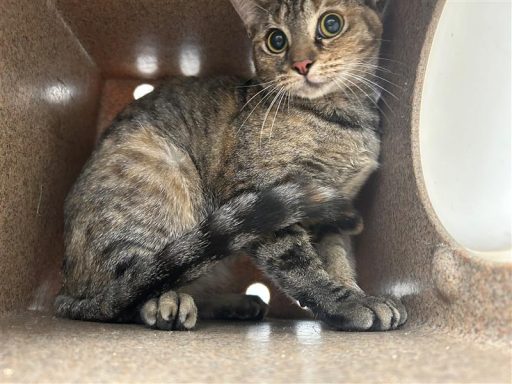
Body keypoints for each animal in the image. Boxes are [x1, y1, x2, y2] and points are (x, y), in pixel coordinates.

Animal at [55, 0, 408, 330]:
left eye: (331, 24)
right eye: (276, 40)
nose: (301, 64)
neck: (342, 120)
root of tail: (66, 291)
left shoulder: (332, 209)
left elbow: (338, 260)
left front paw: (356, 292)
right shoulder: (266, 193)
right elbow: (300, 265)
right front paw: (346, 304)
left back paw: (236, 303)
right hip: (159, 184)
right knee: (137, 286)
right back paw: (167, 302)